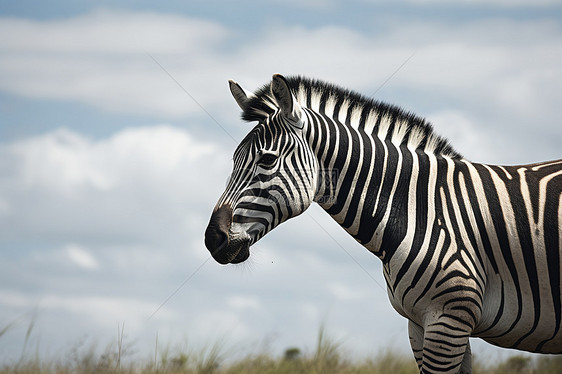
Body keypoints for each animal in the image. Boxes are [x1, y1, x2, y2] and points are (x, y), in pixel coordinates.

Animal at [206, 74, 560, 372]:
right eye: (234, 160)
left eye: (267, 159)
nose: (213, 239)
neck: (421, 210)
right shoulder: (420, 323)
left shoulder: (449, 318)